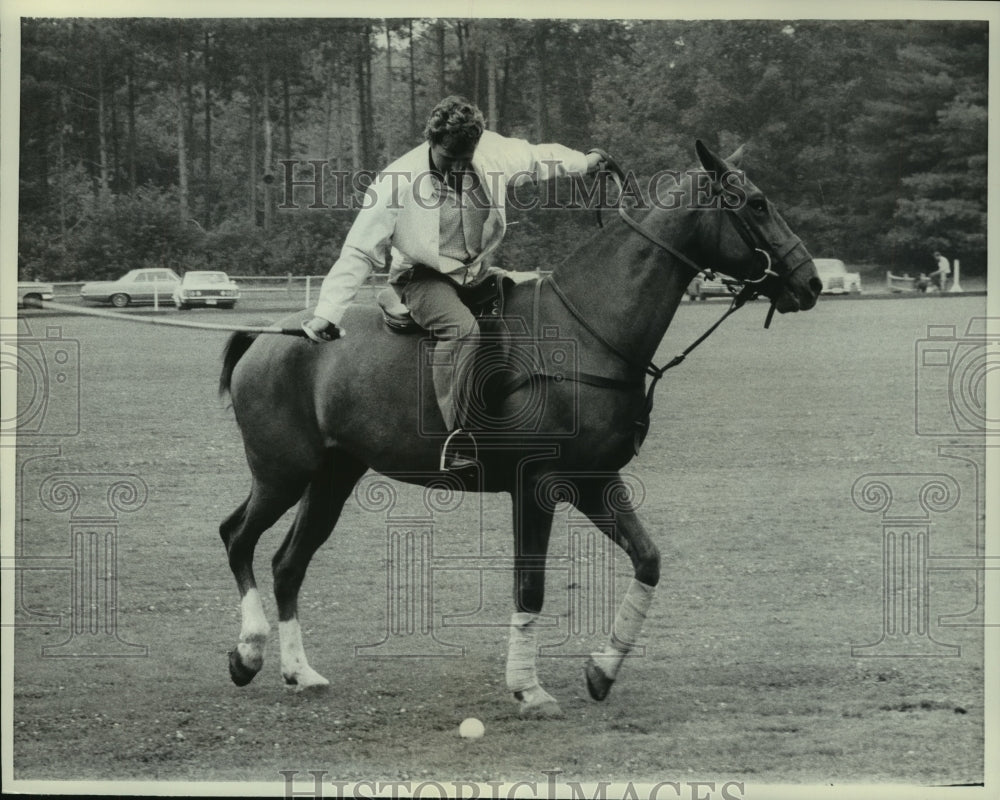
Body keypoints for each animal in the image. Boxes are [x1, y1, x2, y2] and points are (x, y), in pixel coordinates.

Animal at [219, 141, 820, 716]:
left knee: (287, 563)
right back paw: (248, 653)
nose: (810, 282)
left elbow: (648, 559)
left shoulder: (595, 481)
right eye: (756, 203)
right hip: (281, 473)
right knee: (237, 536)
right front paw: (529, 690)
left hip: (332, 476)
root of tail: (265, 336)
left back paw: (300, 672)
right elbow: (530, 586)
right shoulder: (535, 486)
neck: (590, 330)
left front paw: (601, 672)